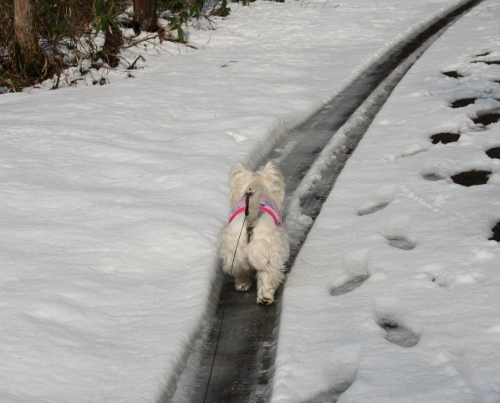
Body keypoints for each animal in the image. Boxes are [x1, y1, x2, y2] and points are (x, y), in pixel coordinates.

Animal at [220, 163, 290, 304]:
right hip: (268, 250)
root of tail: (251, 220)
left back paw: (242, 285)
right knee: (269, 274)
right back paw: (265, 298)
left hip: (234, 249)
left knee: (239, 270)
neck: (256, 186)